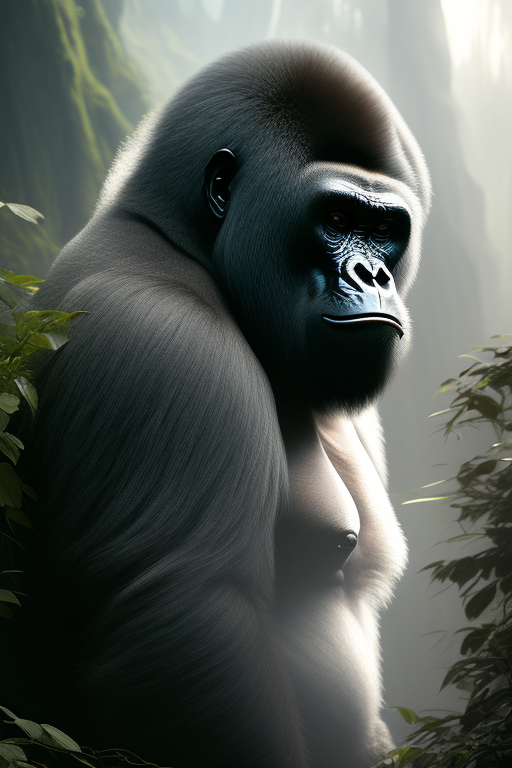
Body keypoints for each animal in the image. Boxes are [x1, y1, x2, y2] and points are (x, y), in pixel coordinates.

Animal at [10, 41, 430, 768]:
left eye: (385, 228)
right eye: (338, 219)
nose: (373, 275)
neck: (178, 238)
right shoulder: (161, 340)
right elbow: (185, 626)